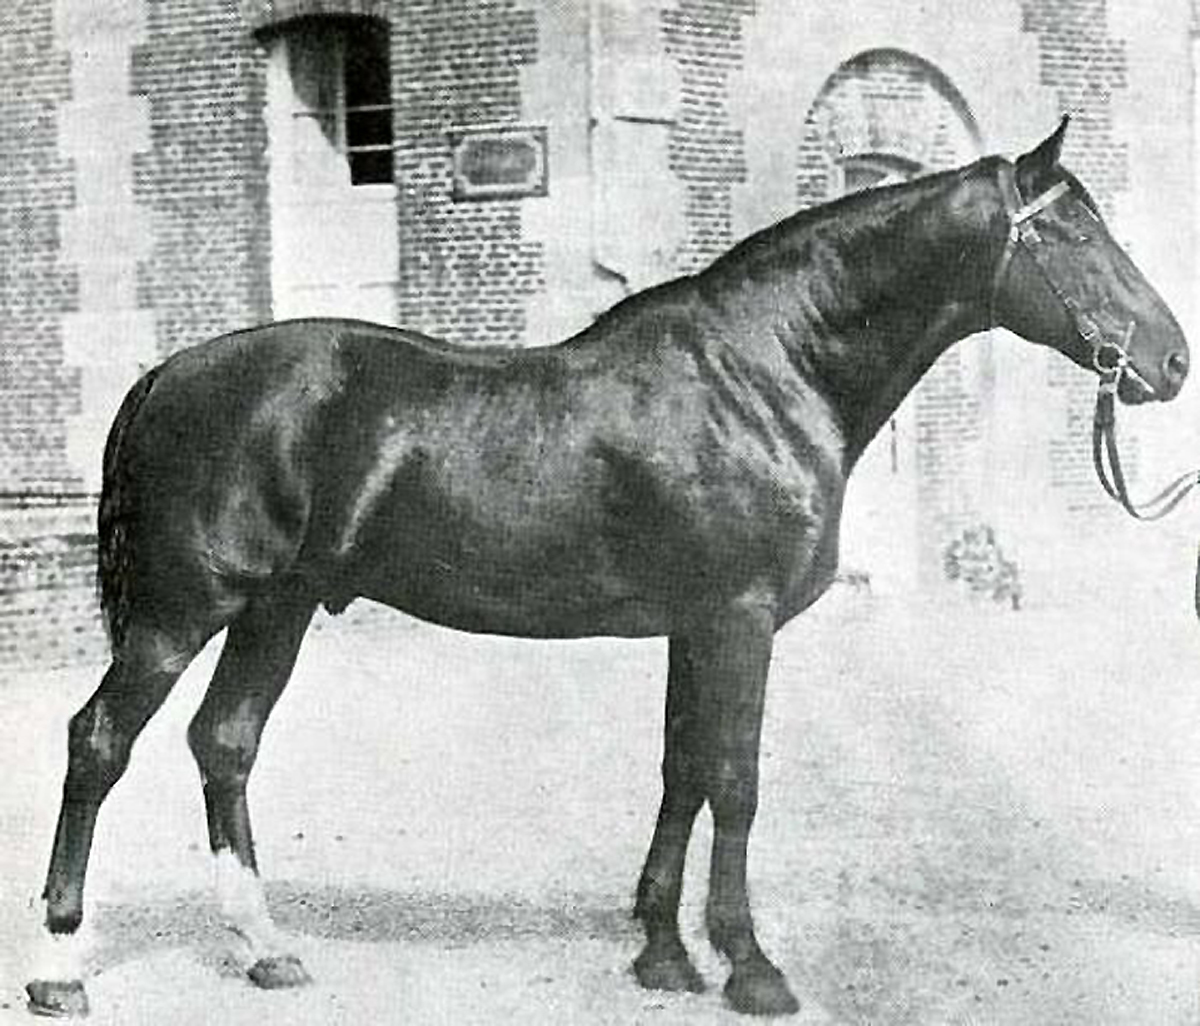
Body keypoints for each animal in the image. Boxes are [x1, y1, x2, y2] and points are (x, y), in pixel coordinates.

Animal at [26, 117, 1189, 1018]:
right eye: (1076, 232)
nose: (1173, 360)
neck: (767, 370)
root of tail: (168, 373)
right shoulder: (738, 618)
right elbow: (736, 779)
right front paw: (750, 966)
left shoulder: (692, 625)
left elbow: (681, 771)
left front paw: (664, 953)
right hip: (183, 612)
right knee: (97, 743)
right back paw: (59, 966)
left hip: (279, 609)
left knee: (224, 744)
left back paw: (266, 948)